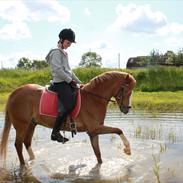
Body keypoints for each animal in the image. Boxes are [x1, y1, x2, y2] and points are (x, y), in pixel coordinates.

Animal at [0, 71, 136, 167]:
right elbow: (118, 130)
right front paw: (128, 149)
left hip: (31, 124)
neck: (93, 99)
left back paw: (33, 161)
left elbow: (98, 155)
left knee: (26, 142)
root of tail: (14, 93)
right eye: (127, 90)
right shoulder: (95, 128)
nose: (127, 108)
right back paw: (24, 166)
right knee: (18, 145)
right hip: (21, 125)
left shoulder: (93, 132)